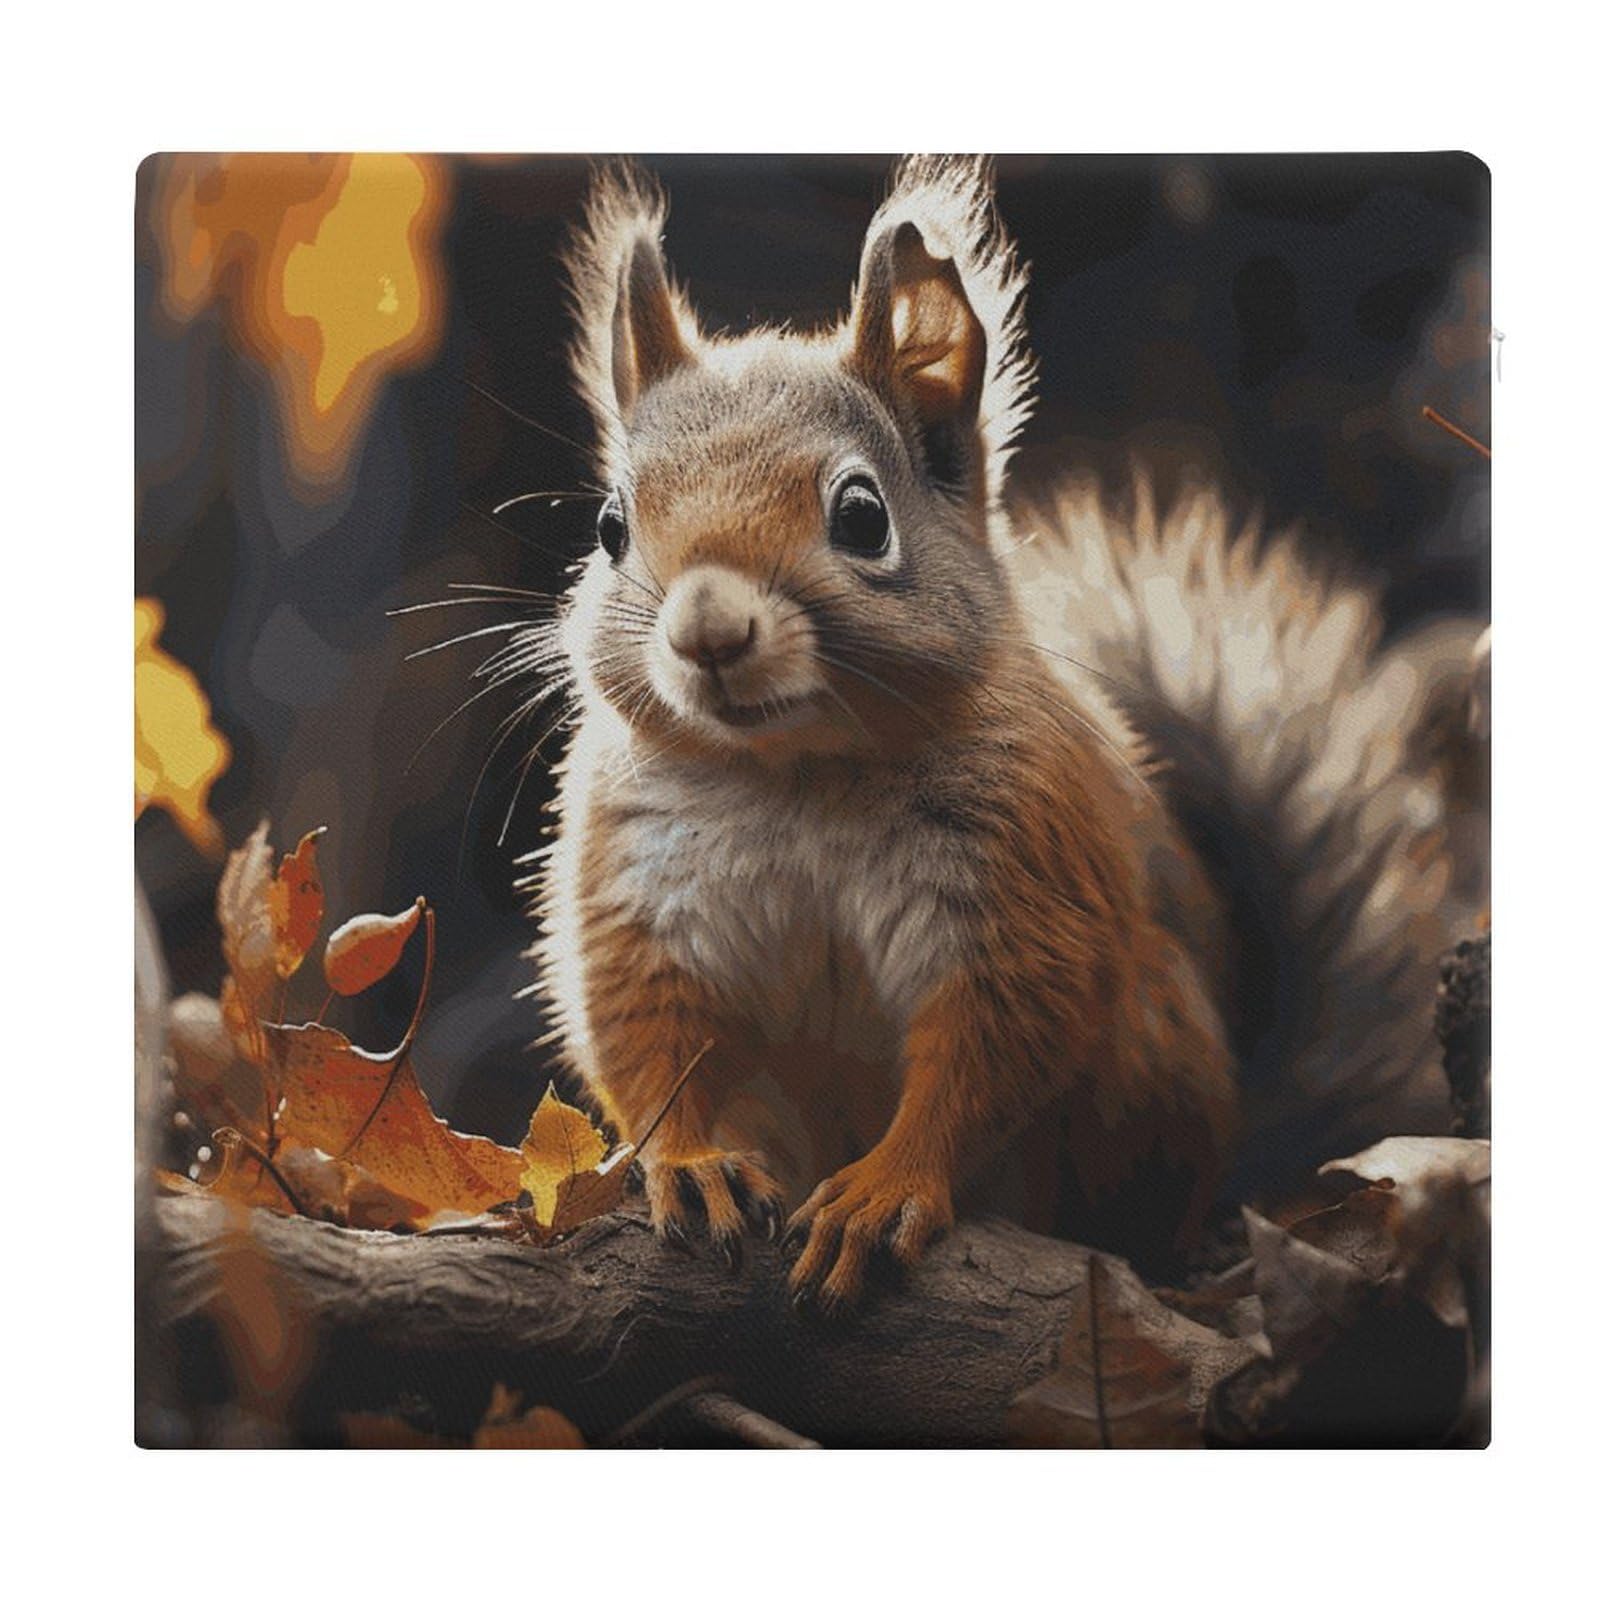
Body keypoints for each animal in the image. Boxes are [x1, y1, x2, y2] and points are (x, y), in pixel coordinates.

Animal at [522, 156, 1485, 1310]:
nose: (708, 632)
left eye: (863, 517)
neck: (795, 774)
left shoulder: (1020, 878)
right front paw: (693, 1161)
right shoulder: (637, 889)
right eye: (610, 528)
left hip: (1147, 1067)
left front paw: (885, 1187)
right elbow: (649, 1041)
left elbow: (992, 1046)